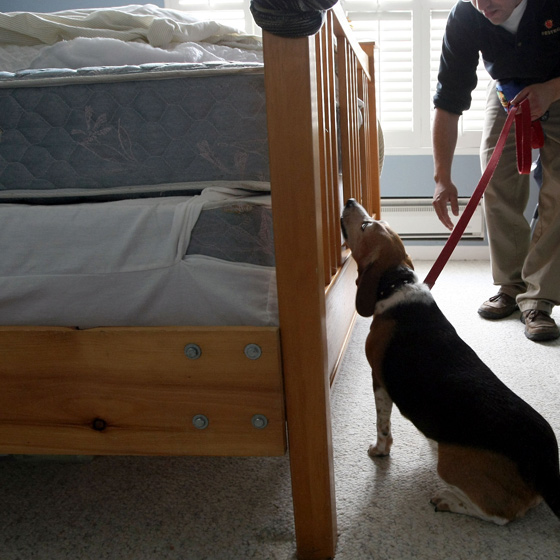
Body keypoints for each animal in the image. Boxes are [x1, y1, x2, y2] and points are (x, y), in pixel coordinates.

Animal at [342, 199, 560, 524]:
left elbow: (382, 425)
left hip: (452, 464)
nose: (350, 201)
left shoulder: (378, 380)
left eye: (366, 225)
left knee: (499, 515)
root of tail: (546, 468)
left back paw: (447, 500)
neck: (397, 282)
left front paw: (379, 450)